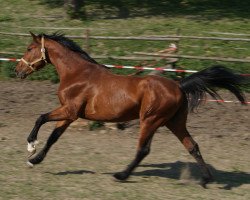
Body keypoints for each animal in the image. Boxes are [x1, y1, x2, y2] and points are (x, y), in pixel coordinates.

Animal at [14, 32, 246, 188]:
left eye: (29, 48)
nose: (17, 71)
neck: (78, 74)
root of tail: (179, 85)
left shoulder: (69, 111)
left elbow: (40, 118)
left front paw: (31, 146)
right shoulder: (71, 115)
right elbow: (53, 136)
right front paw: (34, 160)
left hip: (150, 120)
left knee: (143, 150)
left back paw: (121, 175)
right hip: (175, 122)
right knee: (192, 146)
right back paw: (206, 179)